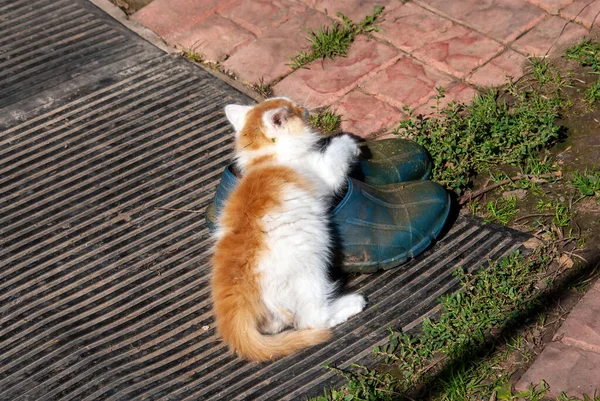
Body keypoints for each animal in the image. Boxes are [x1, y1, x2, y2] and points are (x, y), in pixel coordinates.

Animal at [213, 97, 368, 362]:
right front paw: (350, 142)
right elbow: (337, 150)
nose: (302, 107)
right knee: (313, 319)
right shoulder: (324, 172)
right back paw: (352, 304)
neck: (267, 158)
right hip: (310, 273)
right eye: (293, 108)